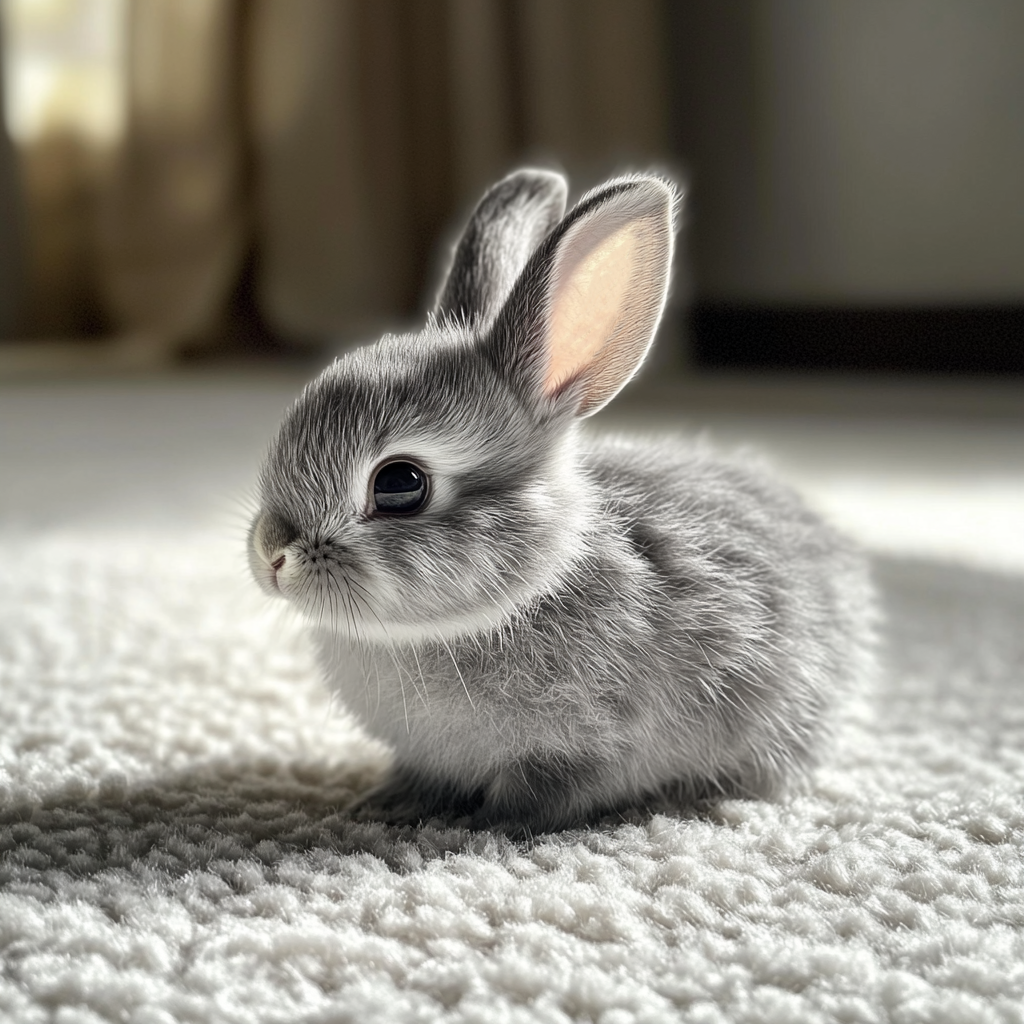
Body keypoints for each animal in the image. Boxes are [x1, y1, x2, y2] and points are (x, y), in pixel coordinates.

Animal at [248, 168, 877, 832]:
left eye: (399, 484)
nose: (273, 556)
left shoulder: (588, 749)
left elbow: (541, 792)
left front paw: (480, 824)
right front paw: (384, 804)